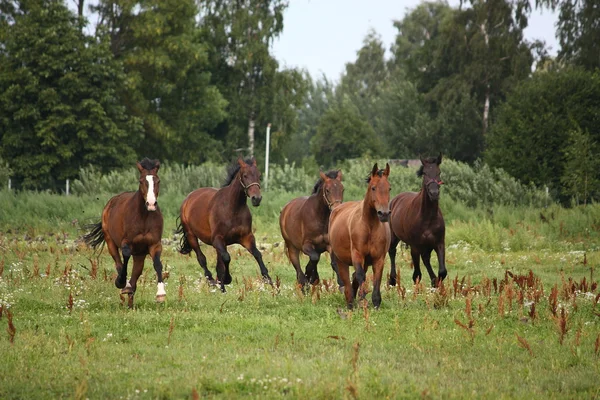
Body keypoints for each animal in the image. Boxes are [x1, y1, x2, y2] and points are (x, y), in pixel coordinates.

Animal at [82, 158, 164, 308]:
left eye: (158, 180)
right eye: (141, 181)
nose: (151, 204)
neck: (144, 217)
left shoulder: (154, 244)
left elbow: (157, 264)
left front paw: (161, 293)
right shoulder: (127, 242)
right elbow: (125, 257)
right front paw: (122, 283)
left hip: (139, 255)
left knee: (135, 275)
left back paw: (130, 301)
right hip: (110, 242)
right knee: (119, 263)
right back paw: (124, 285)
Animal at [177, 158, 274, 292]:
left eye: (259, 176)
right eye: (245, 175)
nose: (257, 198)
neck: (233, 208)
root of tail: (188, 198)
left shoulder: (246, 237)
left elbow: (257, 254)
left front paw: (268, 279)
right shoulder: (218, 239)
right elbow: (227, 258)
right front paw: (227, 279)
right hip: (192, 236)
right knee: (202, 258)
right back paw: (212, 281)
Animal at [328, 163, 394, 310]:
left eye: (389, 188)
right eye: (373, 187)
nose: (384, 213)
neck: (369, 227)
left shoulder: (378, 258)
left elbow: (376, 279)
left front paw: (375, 303)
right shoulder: (357, 255)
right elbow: (359, 275)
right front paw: (362, 300)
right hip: (341, 260)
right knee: (347, 280)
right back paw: (350, 301)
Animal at [386, 153, 448, 288]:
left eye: (439, 172)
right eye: (424, 173)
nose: (434, 193)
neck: (428, 217)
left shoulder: (439, 243)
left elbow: (442, 271)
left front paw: (436, 283)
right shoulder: (415, 246)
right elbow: (417, 275)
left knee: (426, 259)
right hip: (394, 237)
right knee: (392, 251)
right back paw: (392, 279)